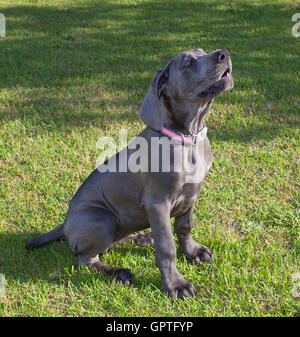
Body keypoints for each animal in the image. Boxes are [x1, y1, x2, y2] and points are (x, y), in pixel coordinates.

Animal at [25, 47, 233, 296]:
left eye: (202, 51)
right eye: (187, 63)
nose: (223, 54)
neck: (188, 138)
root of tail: (65, 225)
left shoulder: (191, 195)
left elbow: (184, 228)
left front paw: (193, 253)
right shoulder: (158, 203)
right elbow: (167, 247)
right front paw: (175, 284)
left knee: (113, 243)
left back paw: (142, 238)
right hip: (101, 218)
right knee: (85, 260)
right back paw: (118, 273)